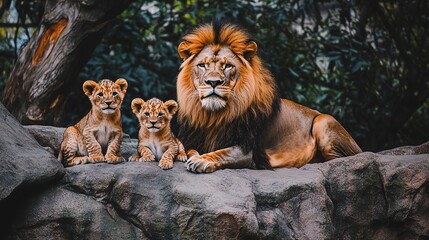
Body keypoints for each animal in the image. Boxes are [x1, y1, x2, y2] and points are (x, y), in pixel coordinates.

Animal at [175, 22, 362, 172]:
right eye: (202, 65)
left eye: (228, 66)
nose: (213, 82)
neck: (213, 116)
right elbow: (190, 149)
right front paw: (193, 156)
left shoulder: (247, 149)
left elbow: (224, 153)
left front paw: (201, 160)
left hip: (323, 121)